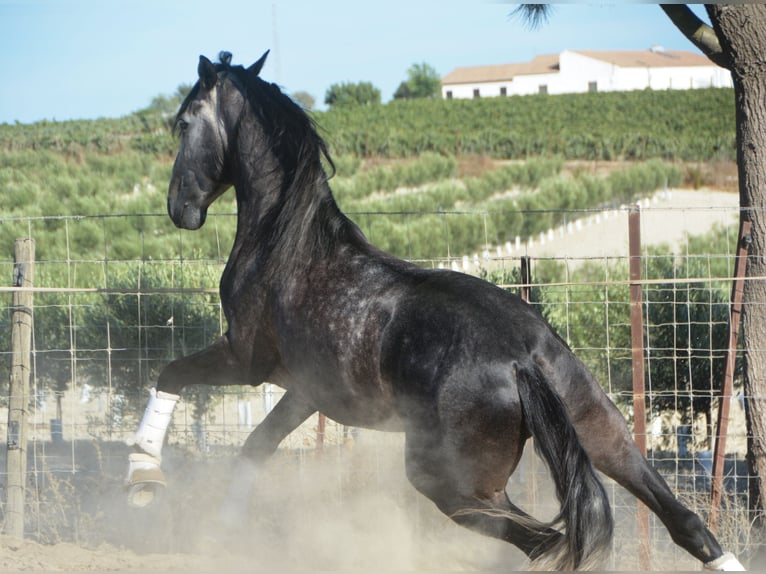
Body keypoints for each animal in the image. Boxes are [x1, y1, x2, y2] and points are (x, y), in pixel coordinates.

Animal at [124, 51, 744, 572]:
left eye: (184, 122)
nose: (179, 209)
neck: (286, 245)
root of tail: (522, 359)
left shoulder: (245, 359)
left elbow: (171, 375)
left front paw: (143, 480)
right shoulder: (304, 392)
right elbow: (255, 448)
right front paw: (222, 530)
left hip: (450, 483)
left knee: (547, 542)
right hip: (602, 431)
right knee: (684, 522)